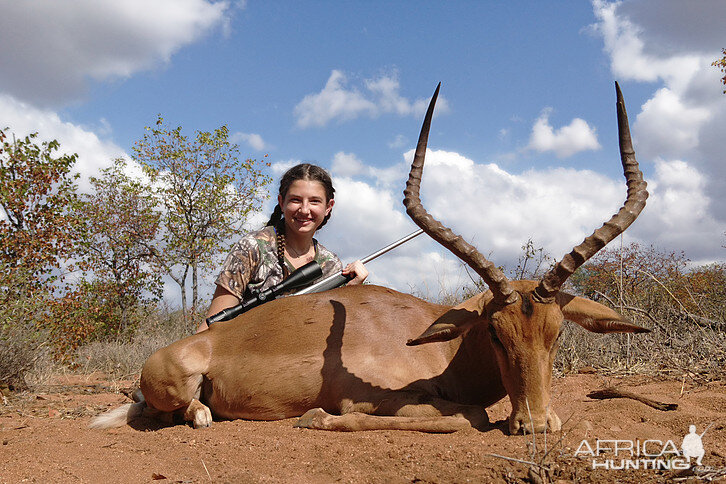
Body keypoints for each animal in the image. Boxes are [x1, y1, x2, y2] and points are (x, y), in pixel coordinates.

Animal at [88, 83, 652, 434]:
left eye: (557, 333)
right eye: (495, 331)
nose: (535, 424)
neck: (440, 346)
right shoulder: (373, 399)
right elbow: (467, 417)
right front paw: (315, 418)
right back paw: (204, 417)